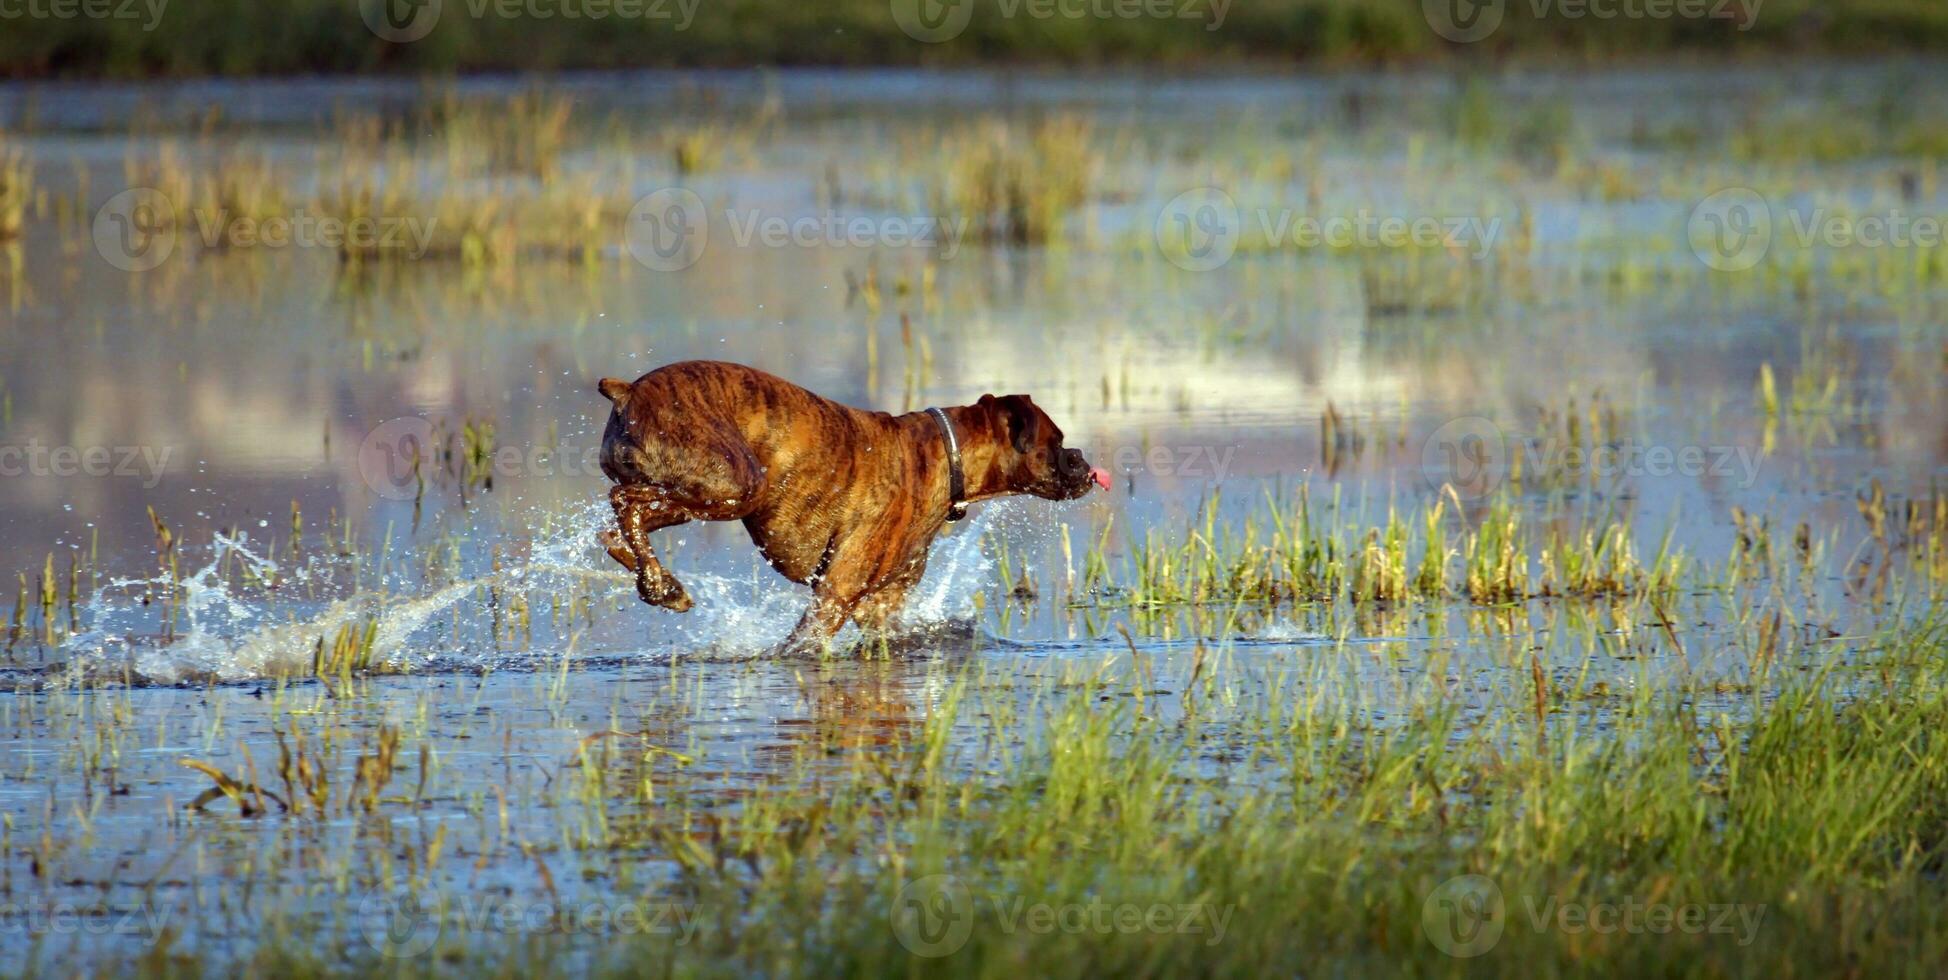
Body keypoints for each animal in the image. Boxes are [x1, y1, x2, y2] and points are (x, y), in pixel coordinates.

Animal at [592, 358, 1114, 650]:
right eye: (1056, 441)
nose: (1083, 460)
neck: (945, 455)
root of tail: (629, 391)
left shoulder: (878, 607)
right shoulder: (834, 597)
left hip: (699, 493)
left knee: (615, 528)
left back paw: (658, 582)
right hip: (735, 485)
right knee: (625, 501)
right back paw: (661, 586)